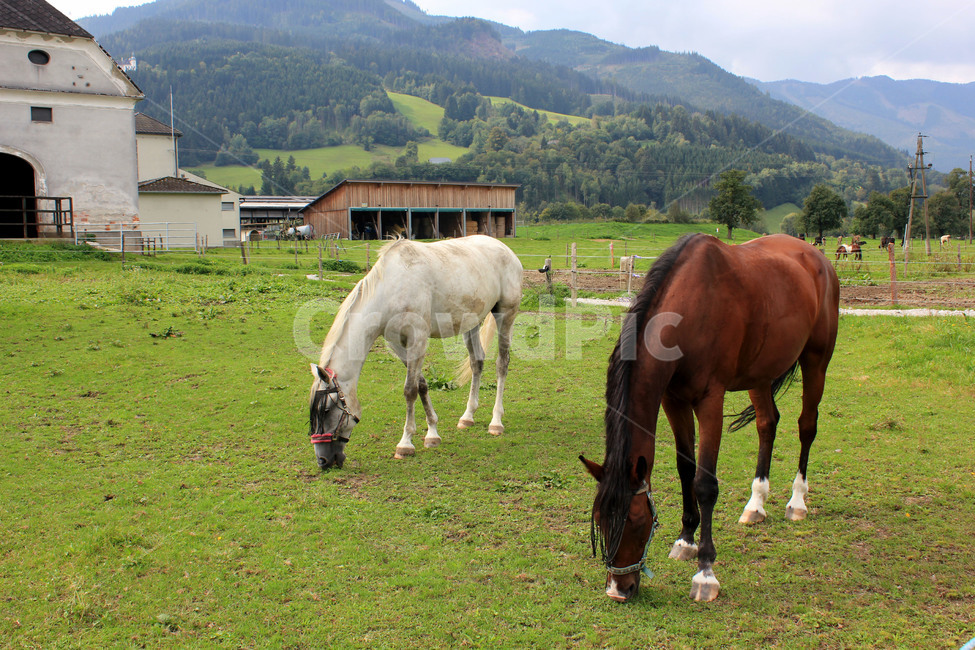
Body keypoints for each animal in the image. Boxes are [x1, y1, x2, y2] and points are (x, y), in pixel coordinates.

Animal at [308, 235, 523, 469]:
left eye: (327, 410)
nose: (322, 460)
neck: (393, 287)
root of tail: (505, 249)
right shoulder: (397, 344)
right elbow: (421, 384)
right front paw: (432, 434)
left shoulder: (417, 339)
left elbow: (409, 390)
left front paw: (405, 444)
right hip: (471, 322)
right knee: (477, 362)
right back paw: (467, 416)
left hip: (505, 314)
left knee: (502, 364)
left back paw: (496, 422)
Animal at [580, 233, 838, 603]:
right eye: (600, 521)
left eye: (637, 521)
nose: (618, 590)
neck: (689, 310)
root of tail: (818, 257)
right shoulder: (673, 400)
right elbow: (685, 468)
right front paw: (686, 539)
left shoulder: (710, 402)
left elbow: (705, 483)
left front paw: (705, 571)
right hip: (760, 374)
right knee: (767, 424)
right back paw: (756, 504)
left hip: (816, 360)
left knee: (807, 426)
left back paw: (797, 501)